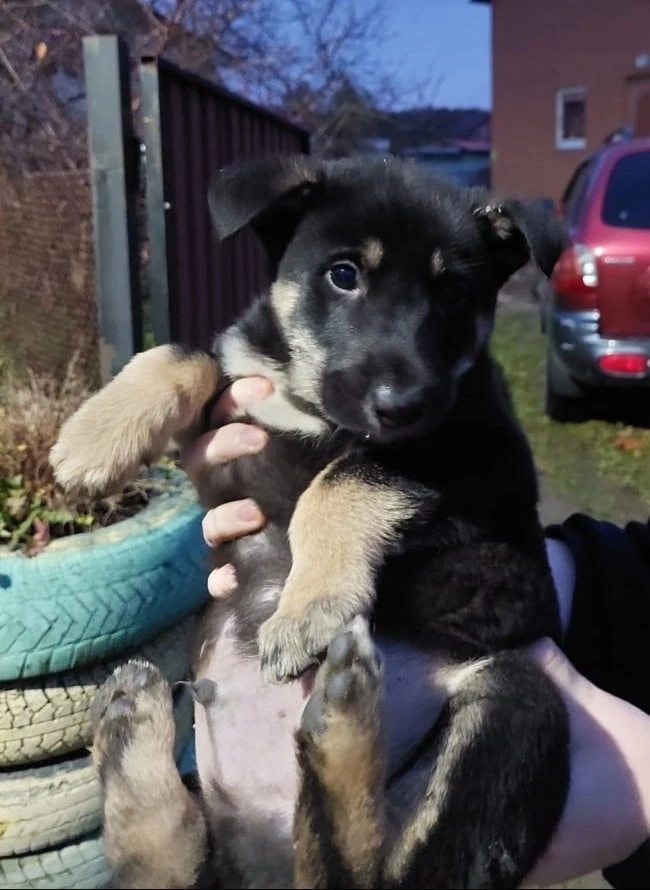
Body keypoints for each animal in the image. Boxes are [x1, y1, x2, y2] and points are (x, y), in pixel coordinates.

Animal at [50, 154, 568, 888]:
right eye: (343, 275)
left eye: (453, 293)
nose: (401, 404)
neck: (308, 403)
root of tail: (264, 868)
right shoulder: (235, 416)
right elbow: (188, 353)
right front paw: (93, 438)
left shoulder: (477, 452)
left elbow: (347, 475)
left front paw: (308, 607)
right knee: (171, 864)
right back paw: (134, 723)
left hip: (520, 702)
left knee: (368, 873)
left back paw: (338, 718)